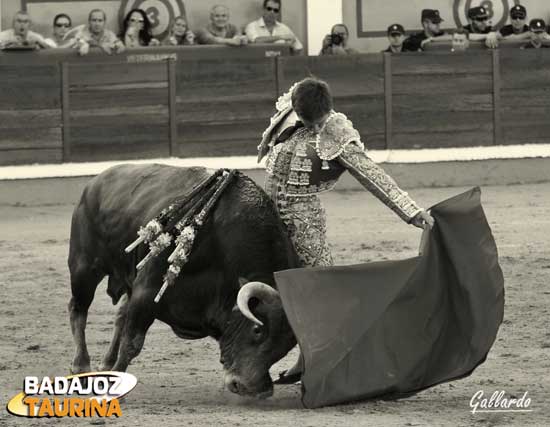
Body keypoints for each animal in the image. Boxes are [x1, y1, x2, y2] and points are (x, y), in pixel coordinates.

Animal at [69, 166, 302, 400]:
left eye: (286, 346)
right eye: (257, 330)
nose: (254, 389)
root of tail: (95, 182)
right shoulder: (146, 293)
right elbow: (132, 343)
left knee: (118, 317)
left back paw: (106, 367)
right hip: (84, 268)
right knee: (78, 310)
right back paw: (81, 367)